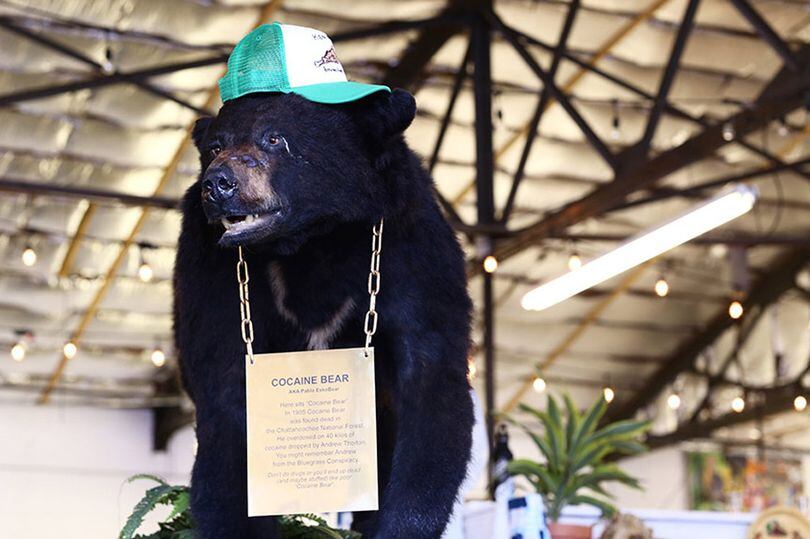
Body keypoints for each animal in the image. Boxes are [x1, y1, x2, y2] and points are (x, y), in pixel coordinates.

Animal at [173, 88, 475, 539]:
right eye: (215, 146)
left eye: (274, 138)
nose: (218, 183)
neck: (311, 241)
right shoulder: (209, 266)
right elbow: (225, 392)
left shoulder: (410, 244)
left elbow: (431, 376)